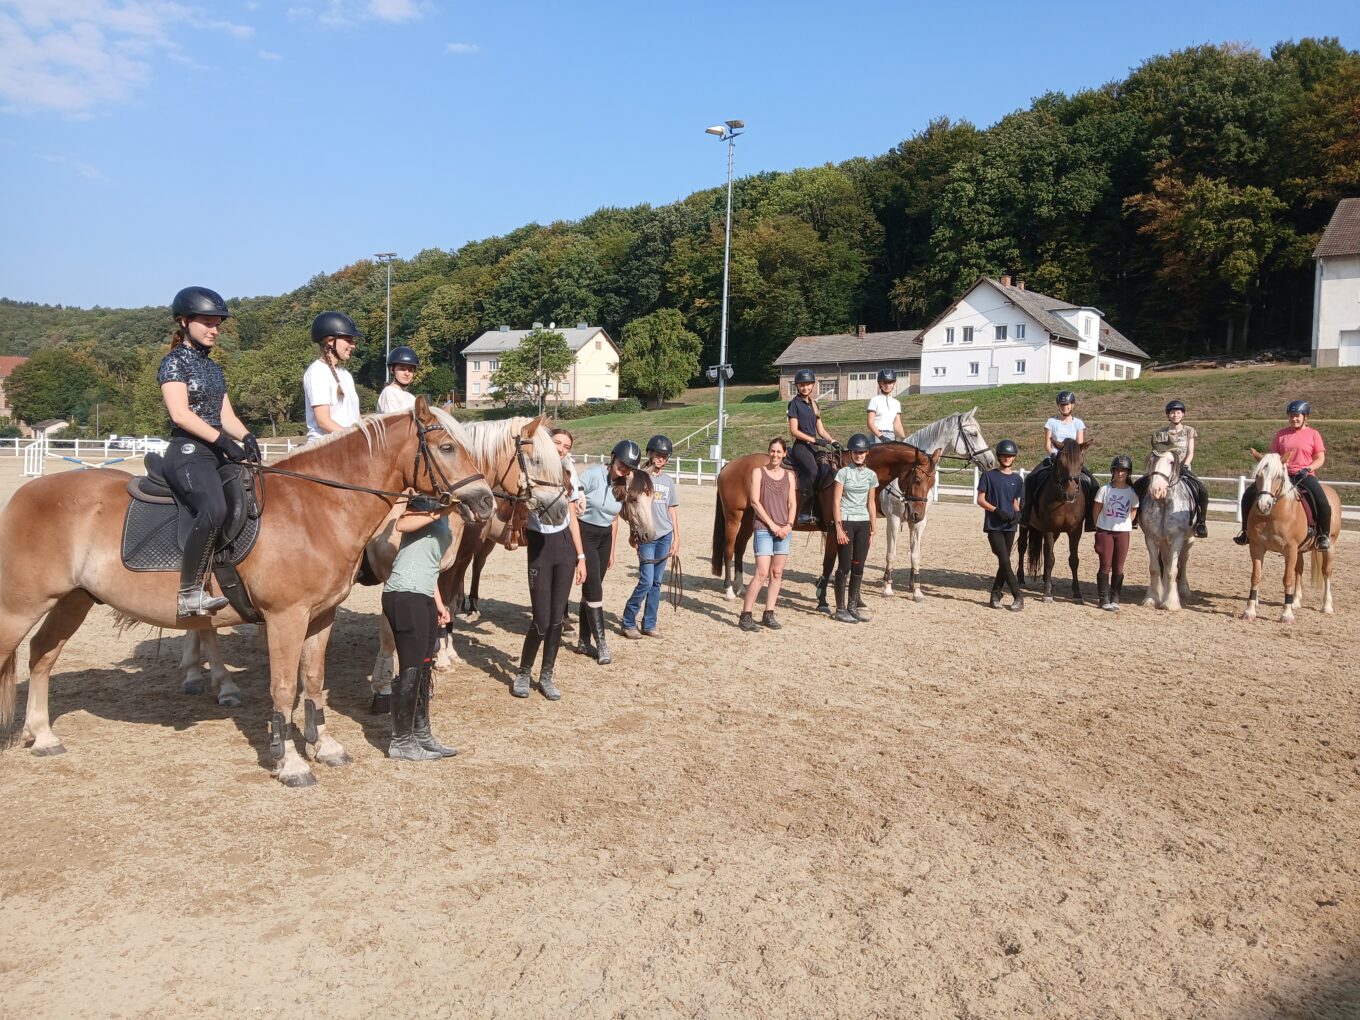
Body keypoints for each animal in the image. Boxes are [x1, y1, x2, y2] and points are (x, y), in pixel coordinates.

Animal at [0, 402, 500, 788]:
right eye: (447, 447)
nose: (486, 501)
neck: (316, 509)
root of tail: (25, 494)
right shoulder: (285, 617)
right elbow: (283, 688)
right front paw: (290, 762)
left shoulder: (320, 617)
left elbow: (313, 681)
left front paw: (325, 746)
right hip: (21, 606)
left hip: (74, 599)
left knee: (42, 654)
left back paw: (43, 736)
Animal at [875, 410, 995, 603]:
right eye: (973, 434)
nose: (991, 461)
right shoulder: (893, 519)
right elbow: (891, 553)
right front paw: (887, 588)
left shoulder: (918, 520)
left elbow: (915, 555)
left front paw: (916, 590)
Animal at [1017, 440, 1088, 606]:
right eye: (1061, 463)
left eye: (1081, 463)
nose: (1070, 494)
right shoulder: (1049, 528)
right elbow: (1050, 559)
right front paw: (1047, 593)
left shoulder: (1075, 531)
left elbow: (1073, 560)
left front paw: (1077, 593)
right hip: (1025, 526)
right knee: (1022, 548)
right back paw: (1021, 578)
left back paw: (1045, 579)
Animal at [1142, 451, 1196, 612]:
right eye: (1151, 460)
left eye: (1171, 462)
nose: (1156, 490)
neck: (1165, 503)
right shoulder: (1151, 537)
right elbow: (1155, 568)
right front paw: (1152, 598)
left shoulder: (1178, 538)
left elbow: (1173, 570)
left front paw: (1171, 603)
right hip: (1164, 542)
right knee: (1165, 563)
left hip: (1188, 540)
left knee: (1183, 560)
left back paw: (1183, 589)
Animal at [1245, 454, 1338, 628]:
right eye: (1258, 475)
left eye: (1279, 477)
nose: (1263, 505)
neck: (1273, 515)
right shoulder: (1256, 547)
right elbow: (1256, 576)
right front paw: (1250, 611)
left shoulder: (1290, 549)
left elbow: (1287, 579)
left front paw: (1287, 615)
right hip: (1299, 551)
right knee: (1299, 570)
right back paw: (1295, 601)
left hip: (1330, 546)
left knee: (1326, 572)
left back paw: (1327, 606)